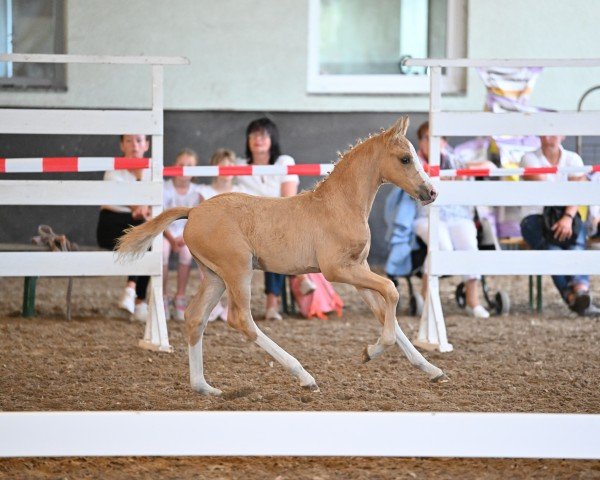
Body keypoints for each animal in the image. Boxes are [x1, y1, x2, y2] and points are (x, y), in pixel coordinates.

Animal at [118, 116, 446, 394]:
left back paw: (203, 387)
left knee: (195, 317)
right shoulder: (338, 270)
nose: (431, 192)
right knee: (241, 319)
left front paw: (432, 370)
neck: (340, 205)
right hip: (238, 270)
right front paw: (370, 351)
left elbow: (385, 311)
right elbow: (391, 291)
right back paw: (303, 376)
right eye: (405, 158)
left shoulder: (357, 270)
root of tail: (194, 211)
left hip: (215, 276)